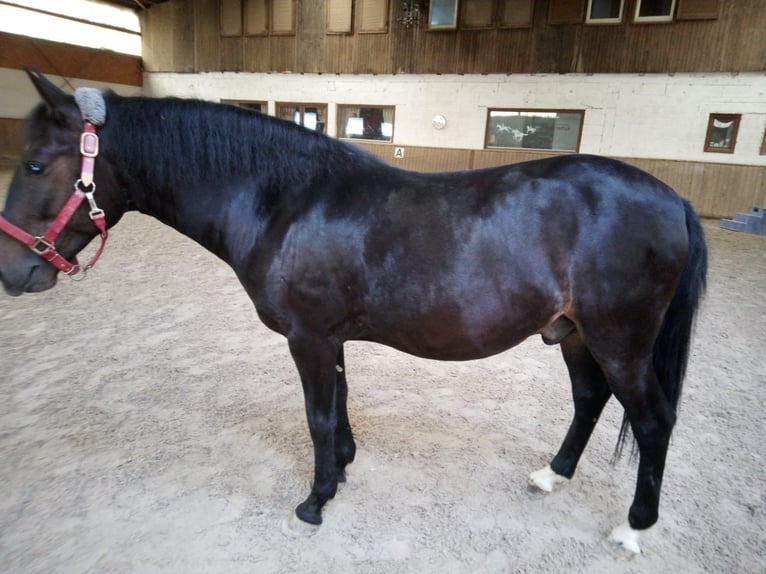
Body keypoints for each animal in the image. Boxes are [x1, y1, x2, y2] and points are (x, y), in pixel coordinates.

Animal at [0, 72, 708, 552]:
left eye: (35, 164)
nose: (13, 273)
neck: (284, 202)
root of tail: (672, 197)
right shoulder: (330, 338)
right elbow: (339, 405)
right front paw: (341, 469)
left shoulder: (308, 338)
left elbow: (316, 415)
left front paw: (314, 501)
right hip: (574, 334)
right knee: (590, 399)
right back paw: (551, 476)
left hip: (621, 340)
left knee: (654, 421)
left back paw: (634, 528)